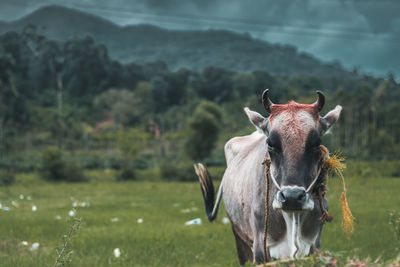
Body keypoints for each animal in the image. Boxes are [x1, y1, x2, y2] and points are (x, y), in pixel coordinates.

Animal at [194, 90, 340, 266]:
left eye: (316, 144)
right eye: (270, 144)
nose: (291, 197)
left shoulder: (314, 246)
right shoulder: (260, 248)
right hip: (239, 237)